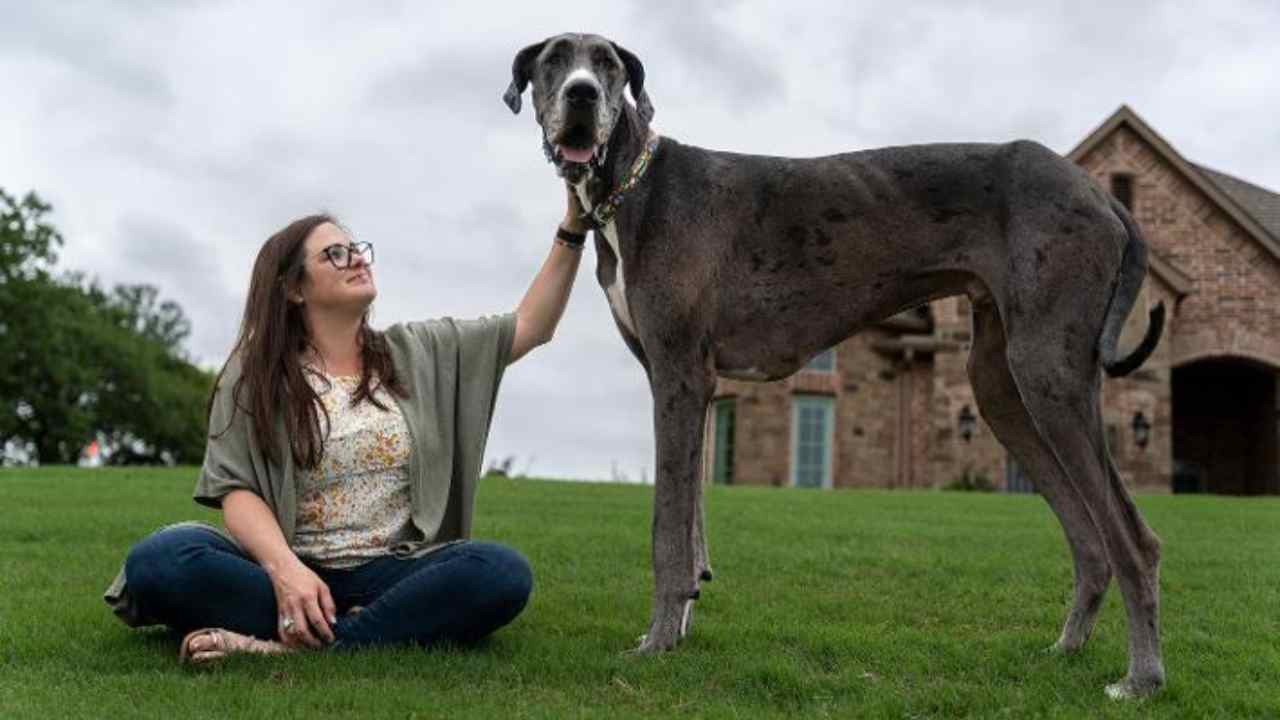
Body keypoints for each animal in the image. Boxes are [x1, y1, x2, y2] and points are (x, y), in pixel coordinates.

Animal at [499, 32, 1172, 696]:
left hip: (1048, 373)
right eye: (554, 60)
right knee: (1089, 538)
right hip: (1001, 388)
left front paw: (657, 642)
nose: (582, 95)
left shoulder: (679, 377)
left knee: (1133, 538)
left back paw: (1141, 676)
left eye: (607, 64)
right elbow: (690, 525)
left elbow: (667, 528)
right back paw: (1066, 649)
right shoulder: (689, 388)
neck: (635, 185)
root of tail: (1102, 195)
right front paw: (679, 626)